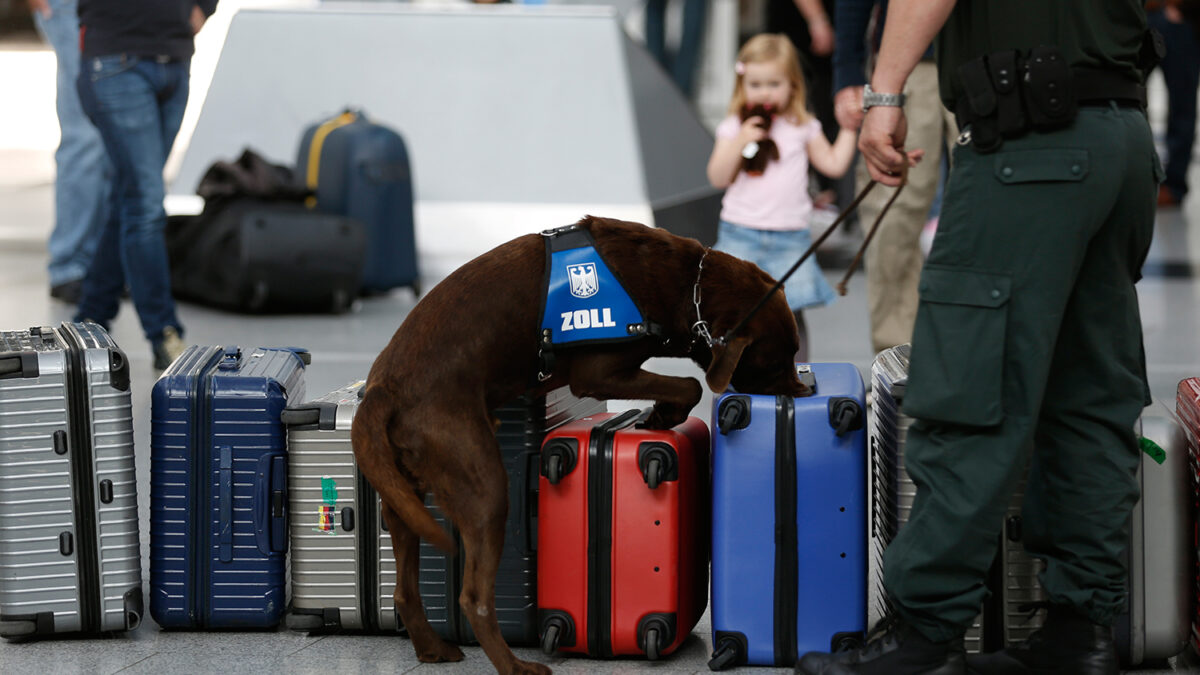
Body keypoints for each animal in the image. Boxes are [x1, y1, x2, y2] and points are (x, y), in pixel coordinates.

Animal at [350, 216, 811, 672]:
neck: (684, 285)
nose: (805, 389)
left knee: (406, 590)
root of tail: (381, 390)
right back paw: (516, 666)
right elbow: (689, 385)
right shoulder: (599, 373)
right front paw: (665, 414)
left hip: (404, 498)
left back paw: (432, 648)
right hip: (483, 484)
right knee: (474, 598)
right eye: (778, 361)